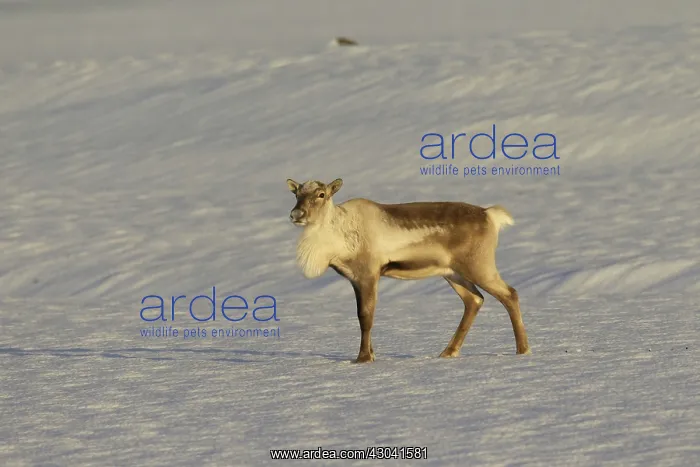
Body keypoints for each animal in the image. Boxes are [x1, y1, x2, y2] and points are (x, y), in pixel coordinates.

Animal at [286, 178, 531, 363]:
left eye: (321, 194)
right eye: (296, 194)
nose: (296, 214)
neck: (337, 235)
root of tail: (490, 215)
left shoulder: (368, 274)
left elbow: (366, 316)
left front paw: (364, 358)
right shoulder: (355, 279)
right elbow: (362, 315)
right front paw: (371, 354)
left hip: (479, 266)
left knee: (509, 294)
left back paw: (523, 350)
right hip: (452, 273)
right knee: (474, 300)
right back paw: (448, 352)